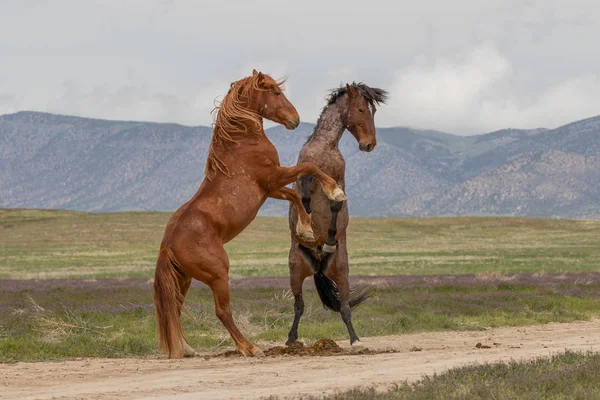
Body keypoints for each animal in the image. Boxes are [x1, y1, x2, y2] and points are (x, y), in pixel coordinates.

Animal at [154, 69, 346, 360]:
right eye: (275, 92)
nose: (295, 119)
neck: (242, 144)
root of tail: (168, 244)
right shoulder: (273, 177)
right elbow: (309, 167)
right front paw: (335, 193)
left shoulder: (270, 188)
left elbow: (294, 196)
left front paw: (306, 230)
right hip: (218, 274)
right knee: (222, 311)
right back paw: (250, 347)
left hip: (183, 278)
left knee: (174, 309)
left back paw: (187, 348)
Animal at [288, 83, 390, 346]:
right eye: (362, 109)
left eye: (374, 111)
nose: (369, 144)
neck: (326, 147)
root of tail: (318, 267)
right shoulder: (304, 177)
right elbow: (304, 199)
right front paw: (307, 228)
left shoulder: (339, 181)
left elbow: (335, 206)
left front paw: (329, 239)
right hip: (295, 271)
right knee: (299, 306)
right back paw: (290, 340)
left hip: (341, 272)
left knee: (344, 307)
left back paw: (355, 340)